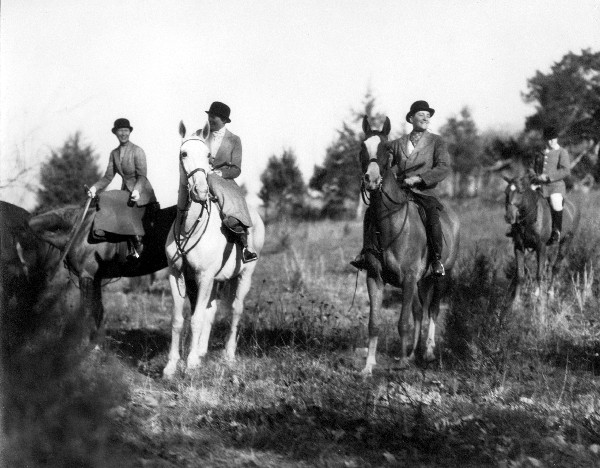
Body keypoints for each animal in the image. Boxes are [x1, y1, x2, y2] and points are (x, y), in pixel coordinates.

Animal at [29, 197, 176, 344]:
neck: (77, 229)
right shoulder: (96, 278)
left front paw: (84, 343)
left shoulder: (86, 276)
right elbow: (98, 311)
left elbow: (87, 312)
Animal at [162, 121, 264, 380]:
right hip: (217, 281)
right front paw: (172, 365)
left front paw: (188, 365)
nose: (199, 191)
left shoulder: (205, 276)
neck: (189, 227)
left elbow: (196, 319)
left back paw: (228, 354)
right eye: (184, 153)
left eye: (208, 156)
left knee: (235, 311)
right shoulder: (177, 275)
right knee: (211, 310)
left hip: (244, 276)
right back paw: (201, 353)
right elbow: (178, 319)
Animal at [356, 116, 460, 372]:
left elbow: (403, 322)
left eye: (386, 148)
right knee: (418, 311)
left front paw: (402, 364)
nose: (371, 180)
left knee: (432, 311)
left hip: (440, 277)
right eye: (362, 146)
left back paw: (428, 352)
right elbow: (374, 322)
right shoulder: (375, 278)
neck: (388, 223)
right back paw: (413, 353)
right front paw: (369, 366)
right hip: (421, 281)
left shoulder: (409, 277)